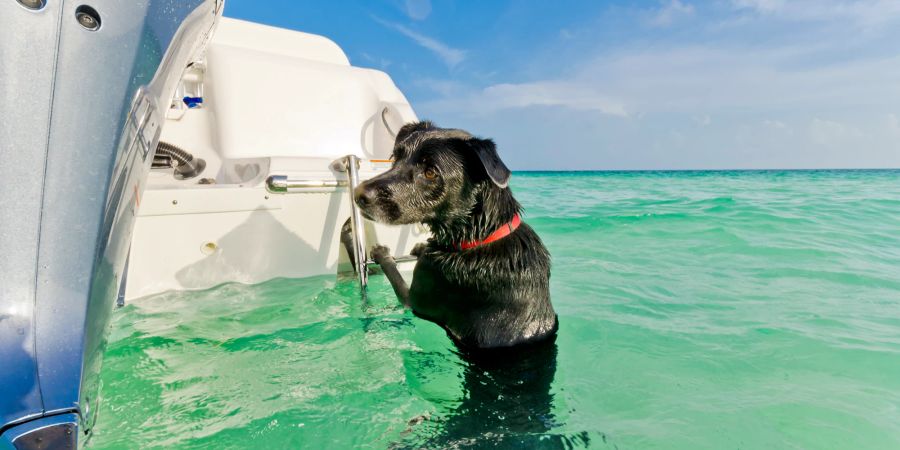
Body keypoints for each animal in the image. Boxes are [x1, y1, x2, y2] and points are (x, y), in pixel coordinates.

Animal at [352, 121, 556, 350]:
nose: (358, 194)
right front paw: (420, 246)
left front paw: (382, 254)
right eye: (396, 157)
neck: (479, 236)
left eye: (430, 173)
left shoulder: (414, 297)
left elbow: (393, 271)